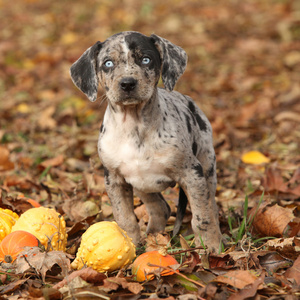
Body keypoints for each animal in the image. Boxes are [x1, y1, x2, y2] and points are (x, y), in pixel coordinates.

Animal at [69, 31, 221, 251]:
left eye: (146, 59)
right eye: (108, 63)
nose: (127, 83)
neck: (135, 128)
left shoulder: (192, 174)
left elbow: (203, 217)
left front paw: (212, 249)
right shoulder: (114, 179)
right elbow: (125, 219)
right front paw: (130, 247)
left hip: (207, 165)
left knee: (212, 207)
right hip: (142, 184)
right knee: (160, 208)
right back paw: (153, 239)